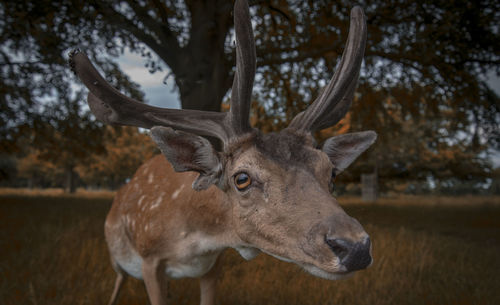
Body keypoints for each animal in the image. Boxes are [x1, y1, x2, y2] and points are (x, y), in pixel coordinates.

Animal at [69, 1, 376, 302]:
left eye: (331, 173)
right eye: (242, 178)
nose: (355, 247)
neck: (195, 242)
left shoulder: (214, 264)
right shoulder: (149, 259)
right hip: (117, 258)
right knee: (118, 280)